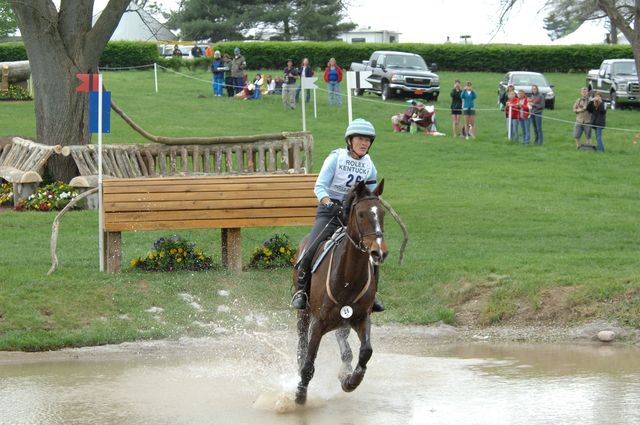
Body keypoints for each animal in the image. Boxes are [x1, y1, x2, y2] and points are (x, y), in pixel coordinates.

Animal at [292, 179, 388, 404]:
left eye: (382, 213)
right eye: (361, 214)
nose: (379, 252)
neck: (347, 278)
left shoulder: (362, 317)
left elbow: (366, 351)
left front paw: (351, 381)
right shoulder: (318, 323)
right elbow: (309, 362)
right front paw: (300, 393)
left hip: (343, 321)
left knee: (344, 345)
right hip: (304, 313)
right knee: (302, 344)